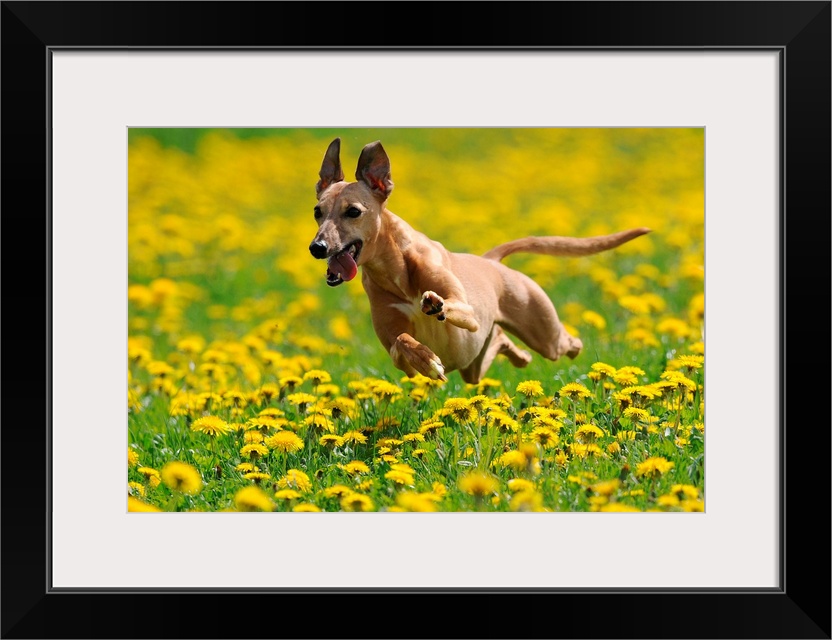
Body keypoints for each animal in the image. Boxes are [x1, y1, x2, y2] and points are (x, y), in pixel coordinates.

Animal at [308, 138, 648, 382]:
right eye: (317, 211)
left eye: (353, 211)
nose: (317, 247)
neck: (395, 270)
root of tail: (491, 261)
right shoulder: (394, 351)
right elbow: (404, 341)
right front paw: (429, 361)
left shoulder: (467, 311)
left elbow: (451, 305)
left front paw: (435, 304)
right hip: (475, 364)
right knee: (502, 345)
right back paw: (518, 355)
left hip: (546, 336)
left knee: (569, 343)